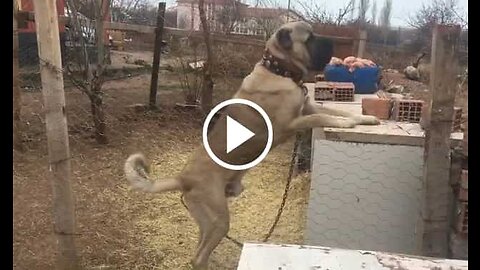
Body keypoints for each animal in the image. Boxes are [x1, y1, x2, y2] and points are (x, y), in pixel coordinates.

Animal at [124, 21, 378, 270]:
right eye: (309, 38)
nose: (333, 44)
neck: (279, 70)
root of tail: (183, 178)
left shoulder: (309, 108)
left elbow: (336, 110)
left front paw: (366, 119)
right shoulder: (292, 124)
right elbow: (323, 117)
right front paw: (346, 123)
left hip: (208, 220)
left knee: (198, 251)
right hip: (219, 219)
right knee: (198, 257)